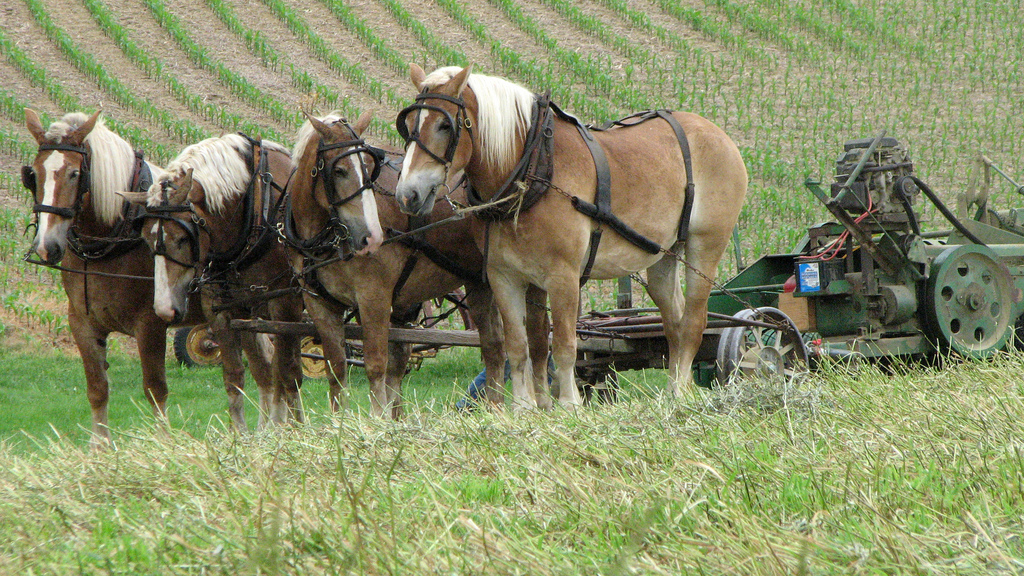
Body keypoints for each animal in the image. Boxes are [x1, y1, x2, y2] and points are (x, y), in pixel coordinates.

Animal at [21, 108, 271, 446]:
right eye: (33, 174)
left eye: (74, 174)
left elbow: (155, 388)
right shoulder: (81, 323)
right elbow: (97, 388)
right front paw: (100, 447)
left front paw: (163, 443)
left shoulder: (150, 323)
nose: (47, 246)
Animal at [122, 133, 306, 426]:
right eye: (147, 241)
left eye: (182, 238)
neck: (257, 207)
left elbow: (287, 375)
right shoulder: (224, 309)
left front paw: (289, 429)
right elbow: (235, 377)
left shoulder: (284, 306)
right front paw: (241, 433)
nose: (164, 309)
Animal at [282, 110, 507, 417]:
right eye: (339, 171)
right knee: (494, 348)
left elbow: (377, 365)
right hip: (478, 283)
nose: (371, 236)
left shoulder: (373, 297)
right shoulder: (320, 303)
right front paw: (341, 422)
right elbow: (337, 369)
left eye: (369, 168)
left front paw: (379, 421)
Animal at [394, 65, 749, 409]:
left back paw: (679, 391)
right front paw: (523, 407)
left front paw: (569, 404)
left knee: (693, 322)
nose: (407, 194)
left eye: (444, 125)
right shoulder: (504, 277)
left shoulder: (563, 276)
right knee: (672, 322)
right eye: (407, 125)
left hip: (706, 245)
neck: (531, 171)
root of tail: (718, 134)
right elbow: (518, 346)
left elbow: (564, 343)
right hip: (663, 254)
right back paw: (678, 388)